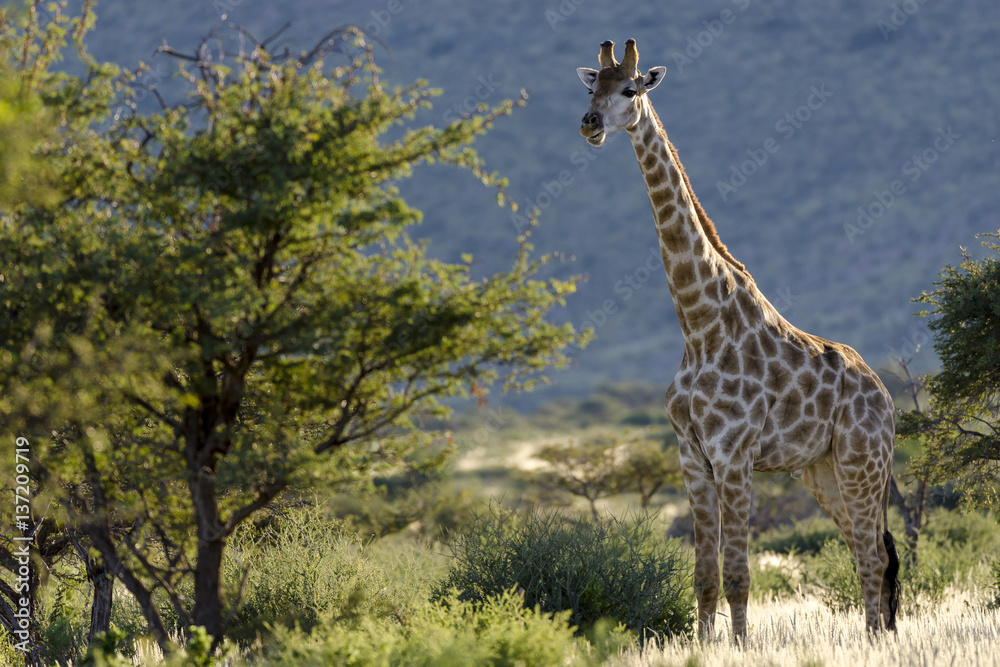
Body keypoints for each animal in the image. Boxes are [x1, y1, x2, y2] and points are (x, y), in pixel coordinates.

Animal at [576, 39, 900, 638]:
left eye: (629, 89)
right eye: (591, 88)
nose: (589, 124)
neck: (698, 323)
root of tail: (887, 399)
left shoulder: (734, 455)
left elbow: (739, 576)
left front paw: (741, 646)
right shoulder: (691, 457)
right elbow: (705, 576)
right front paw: (704, 645)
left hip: (863, 462)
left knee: (873, 557)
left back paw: (876, 642)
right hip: (822, 471)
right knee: (866, 554)